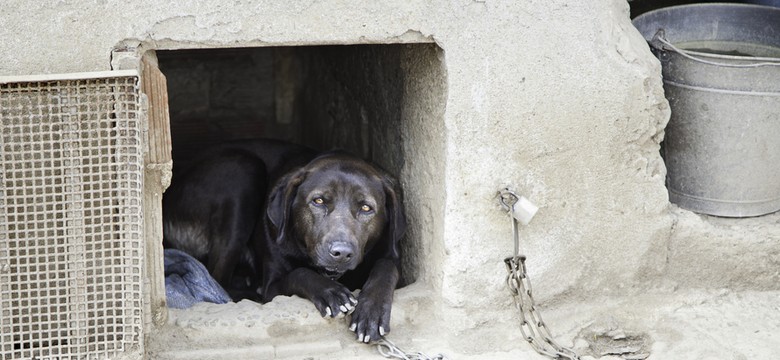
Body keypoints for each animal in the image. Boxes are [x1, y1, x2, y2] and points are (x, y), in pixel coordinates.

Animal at [161, 139, 406, 344]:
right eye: (318, 201)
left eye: (366, 208)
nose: (342, 253)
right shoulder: (274, 286)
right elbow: (299, 273)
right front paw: (330, 292)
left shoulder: (387, 254)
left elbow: (386, 267)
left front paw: (371, 312)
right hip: (241, 171)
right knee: (217, 279)